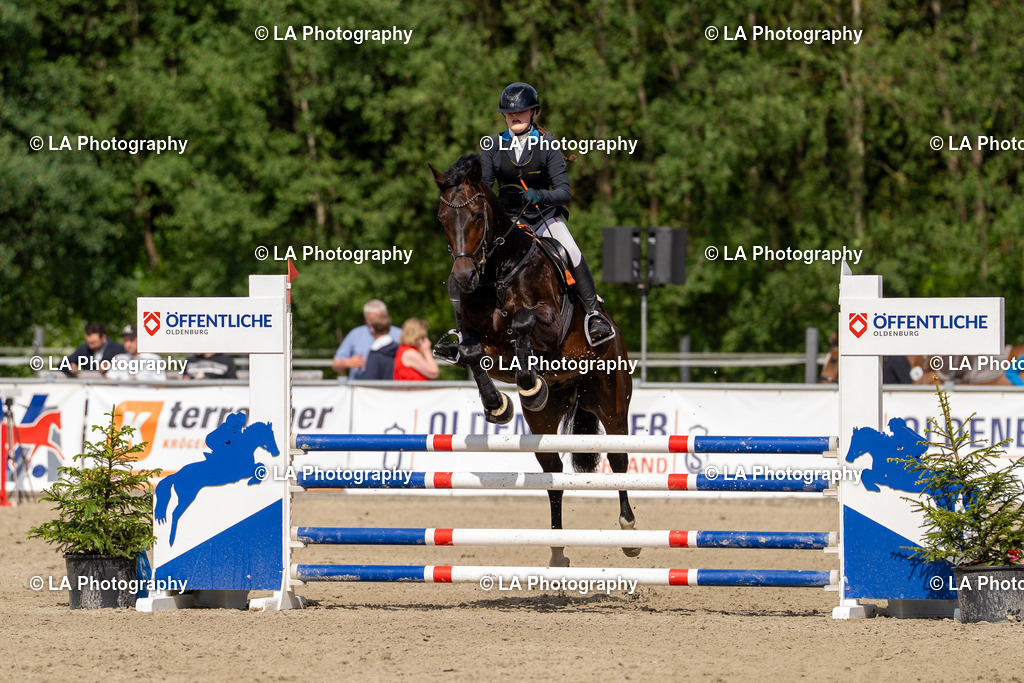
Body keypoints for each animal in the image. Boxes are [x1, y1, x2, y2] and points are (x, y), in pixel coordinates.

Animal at [155, 415, 280, 545]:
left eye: (273, 434)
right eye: (268, 435)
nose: (277, 452)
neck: (244, 447)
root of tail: (177, 475)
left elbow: (260, 466)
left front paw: (254, 481)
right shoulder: (243, 471)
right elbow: (260, 466)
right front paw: (252, 481)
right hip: (187, 496)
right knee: (175, 513)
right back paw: (171, 540)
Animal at [430, 154, 636, 567]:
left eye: (476, 215)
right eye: (442, 218)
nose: (463, 277)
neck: (498, 270)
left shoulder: (549, 325)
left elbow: (522, 322)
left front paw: (528, 380)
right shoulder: (479, 340)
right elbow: (472, 352)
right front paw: (500, 405)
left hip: (612, 401)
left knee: (620, 461)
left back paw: (629, 532)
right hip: (547, 419)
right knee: (553, 476)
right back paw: (557, 551)